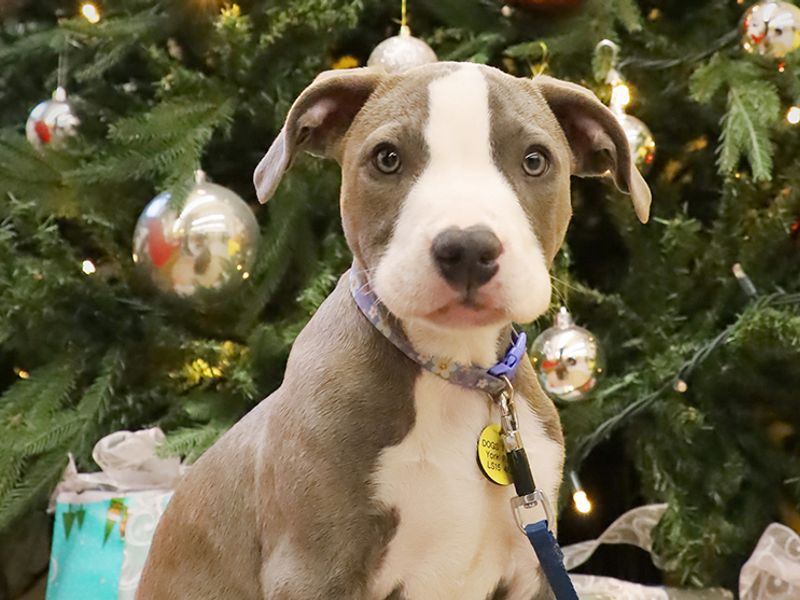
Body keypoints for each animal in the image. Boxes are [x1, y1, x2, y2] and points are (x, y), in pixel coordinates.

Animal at [138, 62, 648, 600]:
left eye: (534, 161)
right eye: (387, 158)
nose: (467, 248)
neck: (452, 365)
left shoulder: (533, 570)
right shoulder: (313, 569)